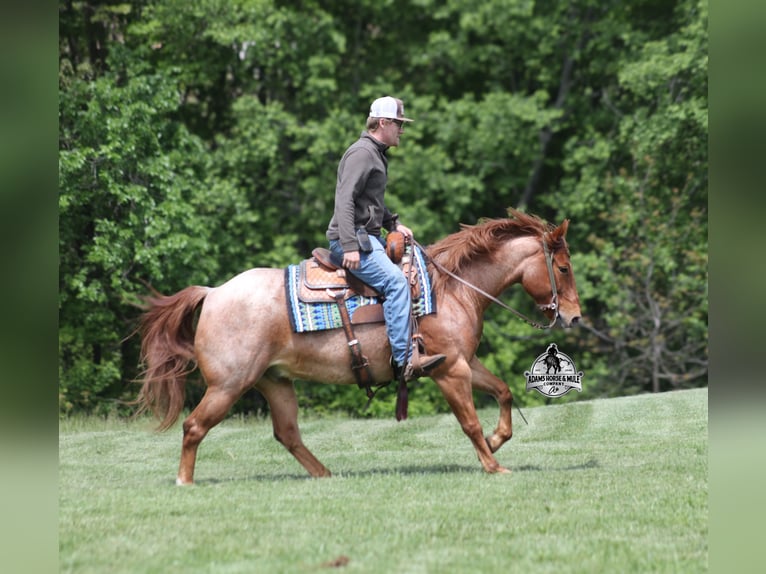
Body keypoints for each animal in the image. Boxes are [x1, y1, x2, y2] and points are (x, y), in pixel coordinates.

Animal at [134, 209, 581, 484]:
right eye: (562, 267)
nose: (574, 317)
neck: (452, 288)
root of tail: (213, 293)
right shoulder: (448, 369)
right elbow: (468, 420)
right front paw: (492, 463)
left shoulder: (463, 361)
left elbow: (503, 392)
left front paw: (494, 441)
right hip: (229, 385)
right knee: (194, 427)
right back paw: (185, 481)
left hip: (274, 382)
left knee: (288, 433)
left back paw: (325, 475)